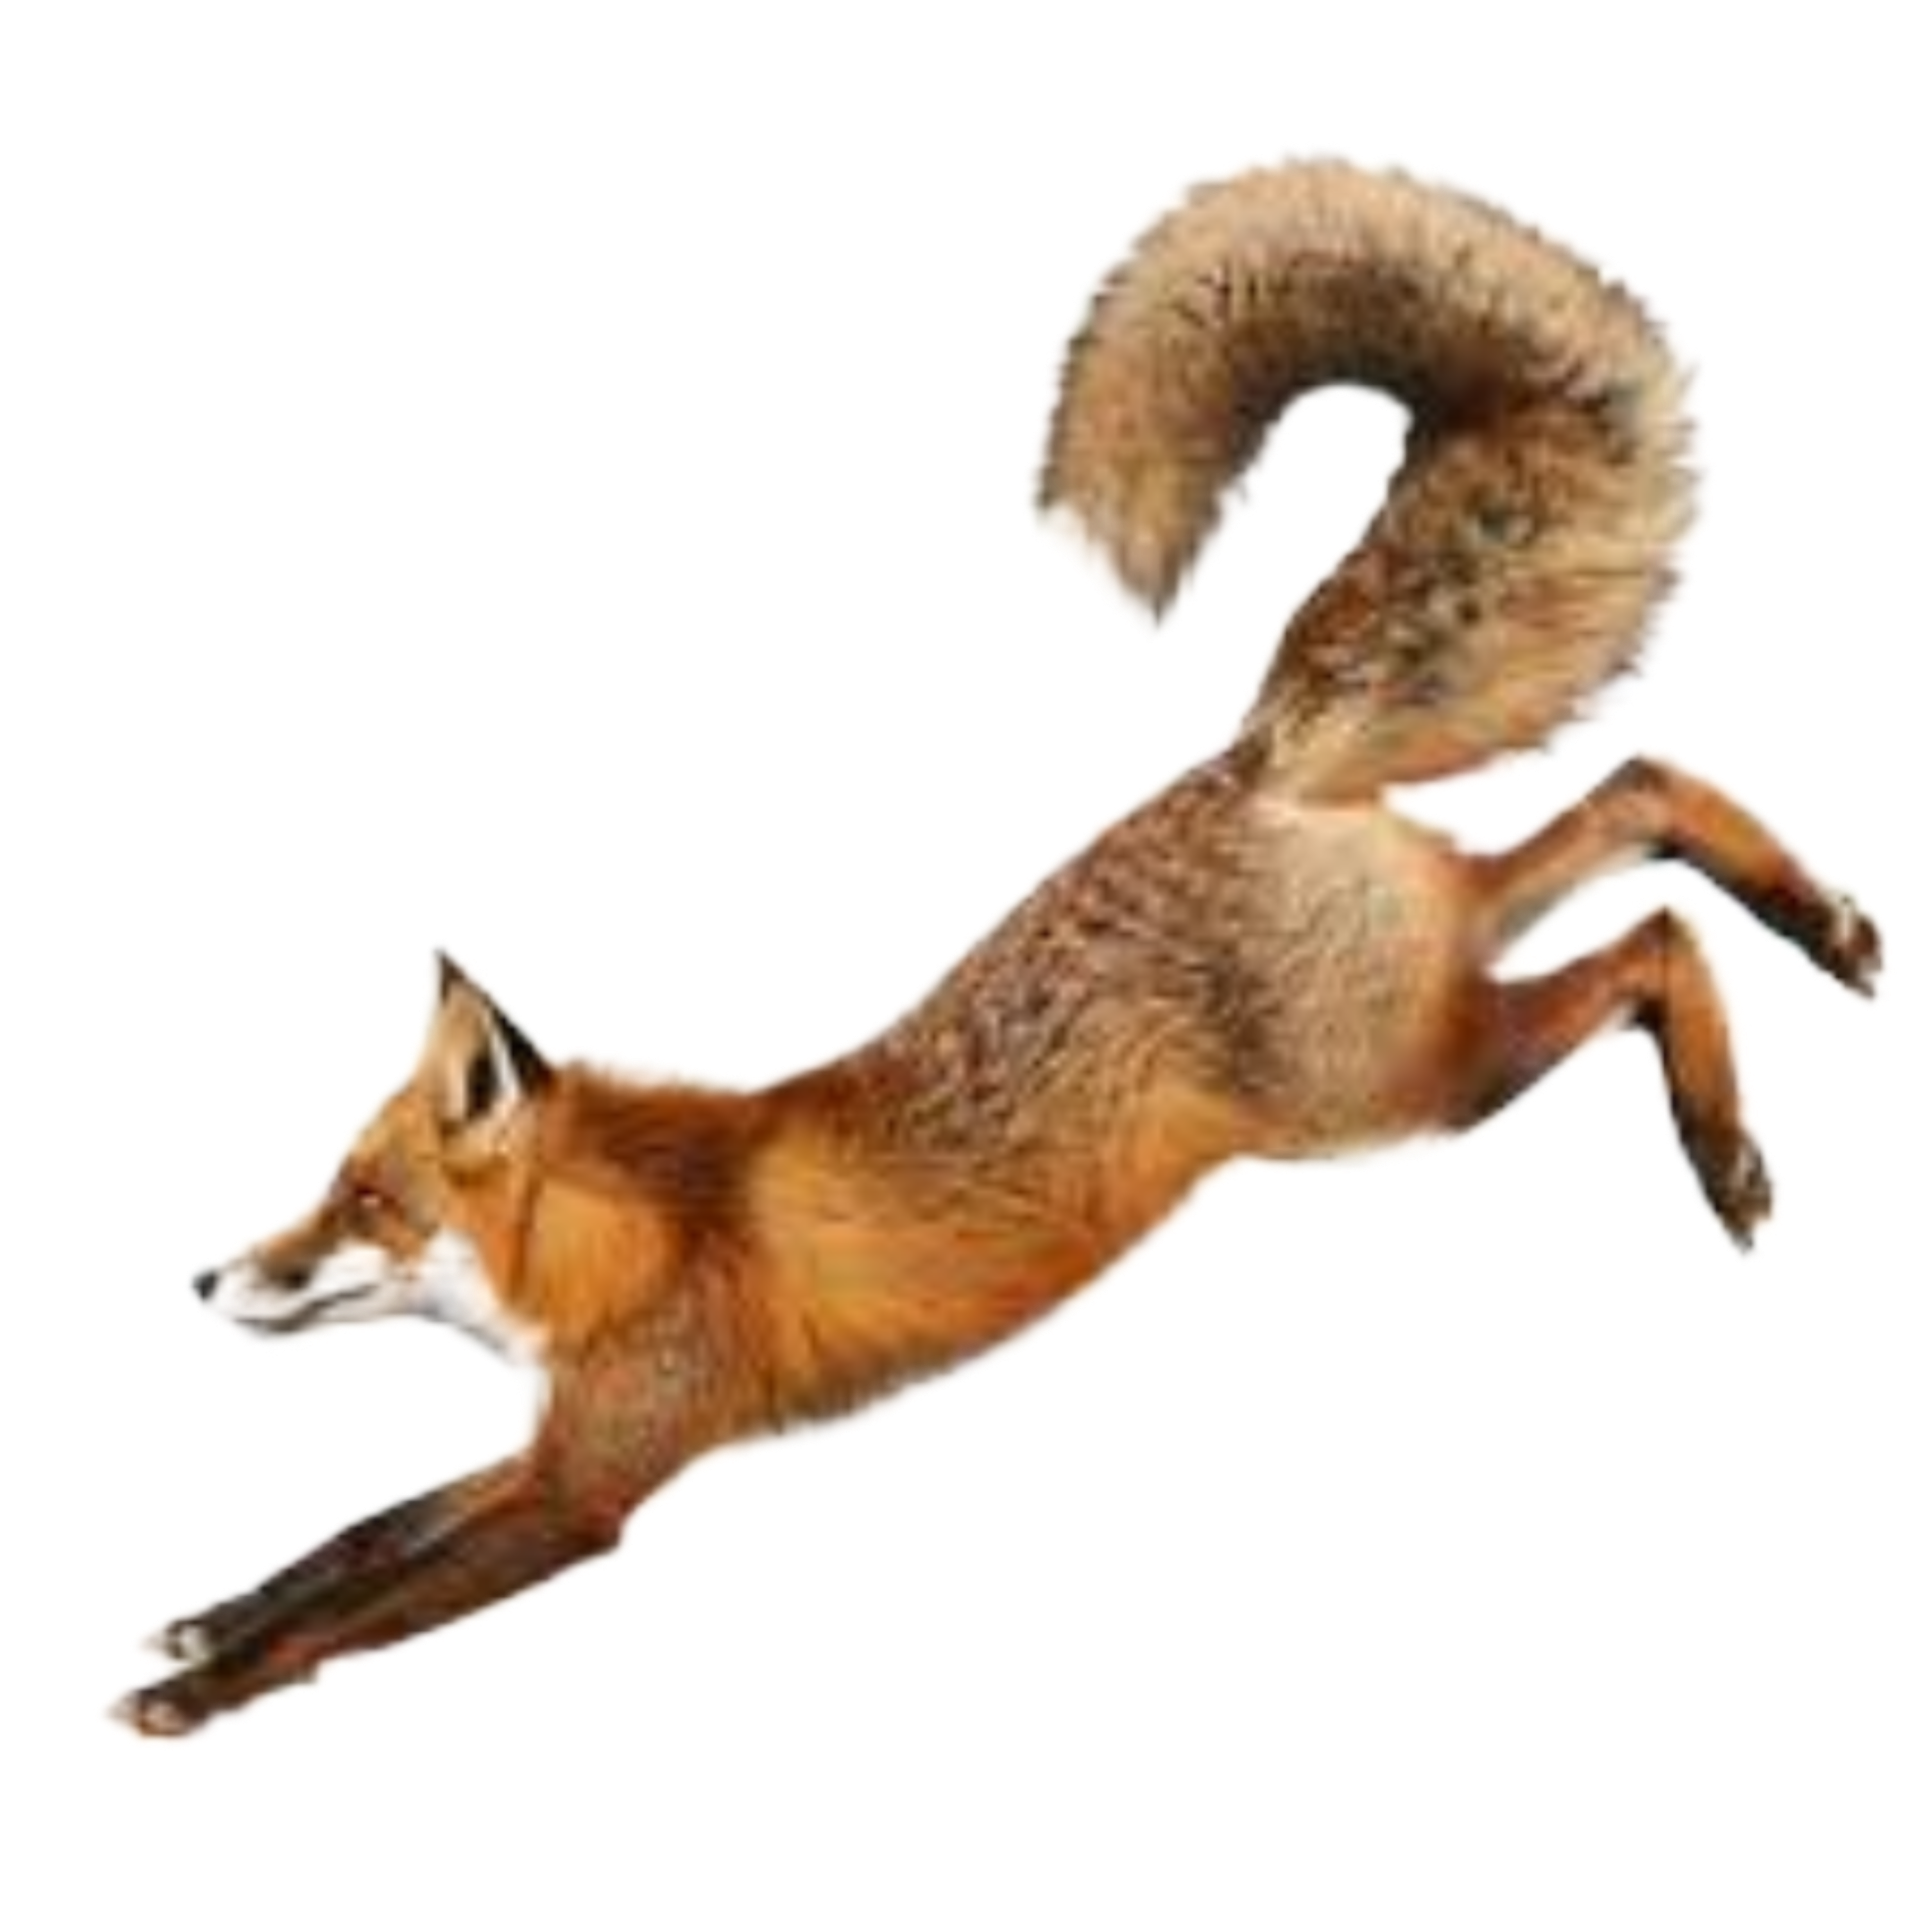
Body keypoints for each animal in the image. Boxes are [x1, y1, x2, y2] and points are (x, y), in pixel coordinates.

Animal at [100, 143, 1891, 1745]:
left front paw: (197, 1696)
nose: (203, 1275)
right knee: (1642, 796)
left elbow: (368, 1600)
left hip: (1399, 1094)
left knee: (1652, 936)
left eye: (367, 1201)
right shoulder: (545, 1446)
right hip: (1433, 982)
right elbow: (353, 1539)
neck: (623, 1239)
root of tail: (1250, 755)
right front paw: (204, 1621)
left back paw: (1734, 1154)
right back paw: (1828, 930)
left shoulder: (590, 1485)